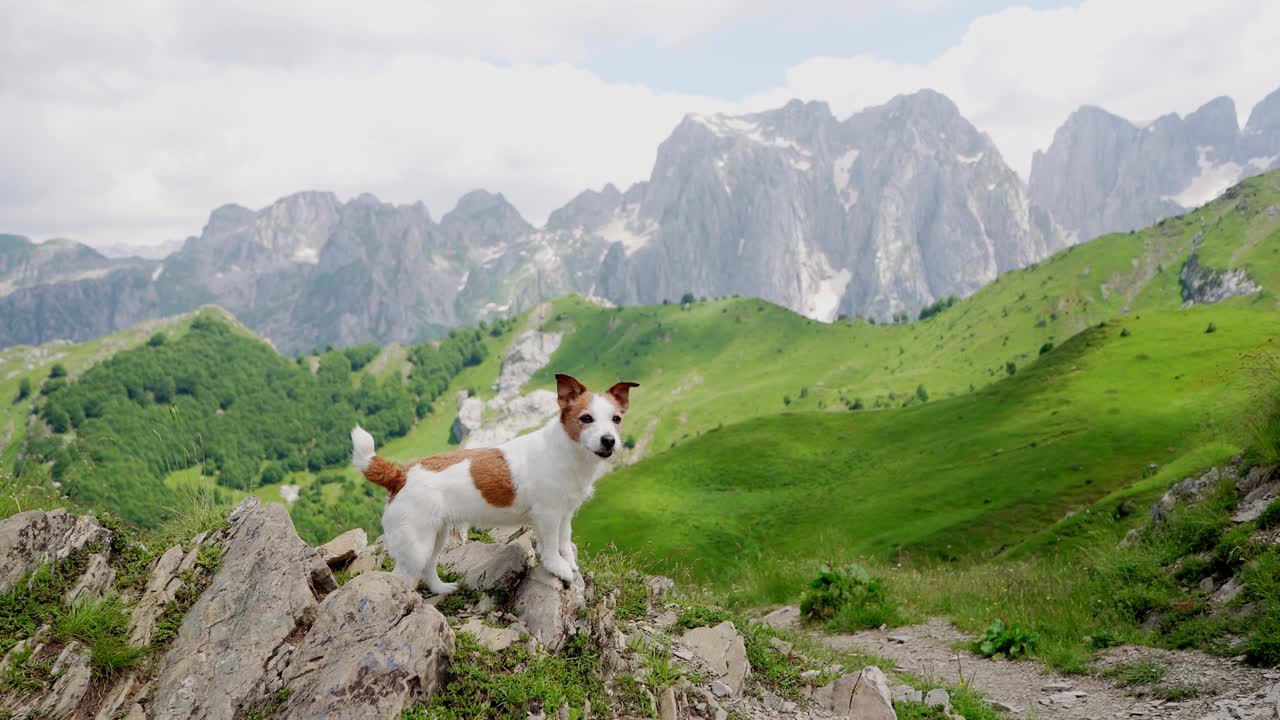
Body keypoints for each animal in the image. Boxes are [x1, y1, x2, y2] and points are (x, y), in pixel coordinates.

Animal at [353, 371, 637, 591]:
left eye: (616, 419)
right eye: (586, 418)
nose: (609, 440)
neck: (567, 450)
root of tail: (400, 475)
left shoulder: (565, 514)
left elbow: (564, 541)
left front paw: (569, 561)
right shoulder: (547, 516)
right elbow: (550, 546)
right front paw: (559, 568)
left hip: (436, 536)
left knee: (428, 568)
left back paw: (442, 590)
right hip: (416, 544)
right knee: (402, 576)